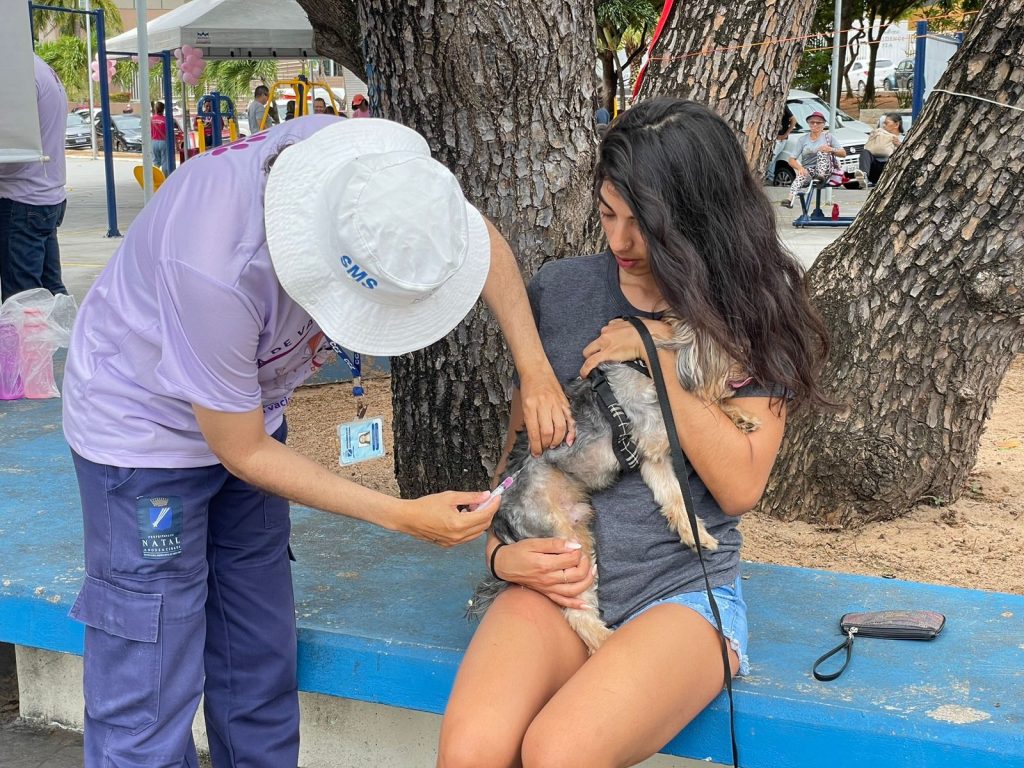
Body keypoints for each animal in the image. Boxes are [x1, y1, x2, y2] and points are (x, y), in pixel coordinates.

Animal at [468, 319, 757, 655]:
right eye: (730, 346)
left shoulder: (652, 460)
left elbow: (674, 497)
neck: (650, 368)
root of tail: (499, 514)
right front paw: (729, 409)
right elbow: (703, 405)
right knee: (576, 611)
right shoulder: (654, 432)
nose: (752, 369)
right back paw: (606, 641)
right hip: (561, 541)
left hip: (581, 534)